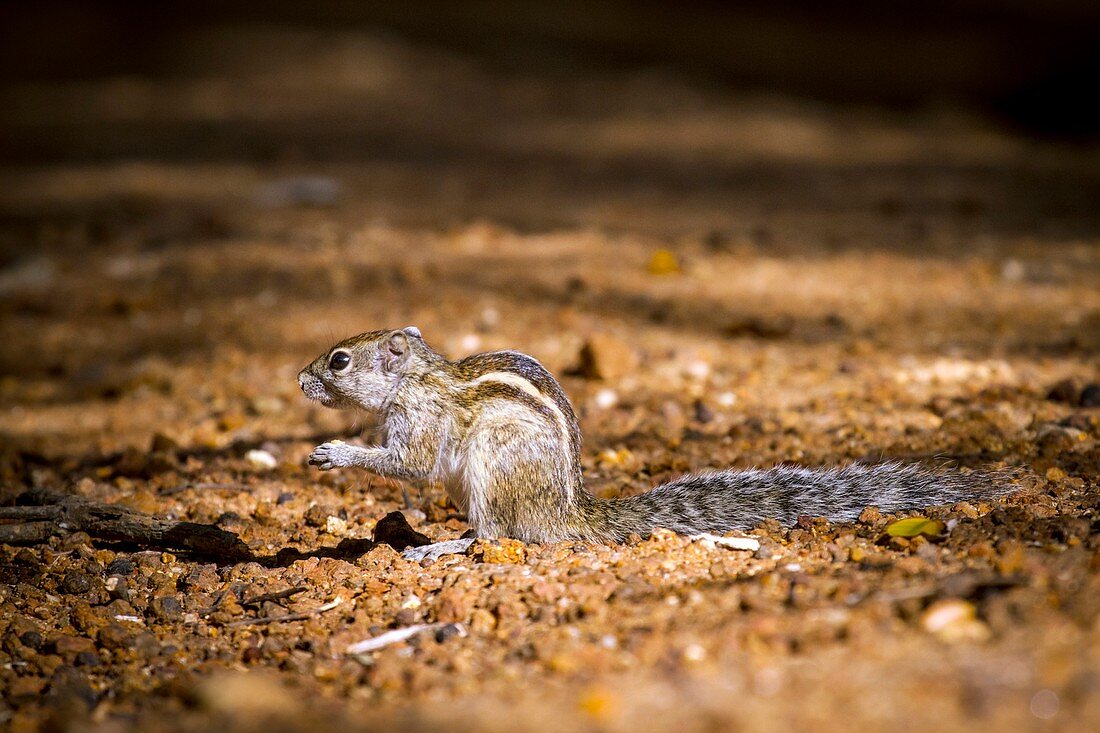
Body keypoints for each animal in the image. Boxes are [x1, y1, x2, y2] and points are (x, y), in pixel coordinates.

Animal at [297, 325, 1003, 559]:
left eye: (338, 361)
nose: (300, 379)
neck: (417, 377)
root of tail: (567, 510)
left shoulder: (420, 423)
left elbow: (409, 464)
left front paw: (335, 453)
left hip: (493, 469)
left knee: (492, 535)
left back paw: (441, 545)